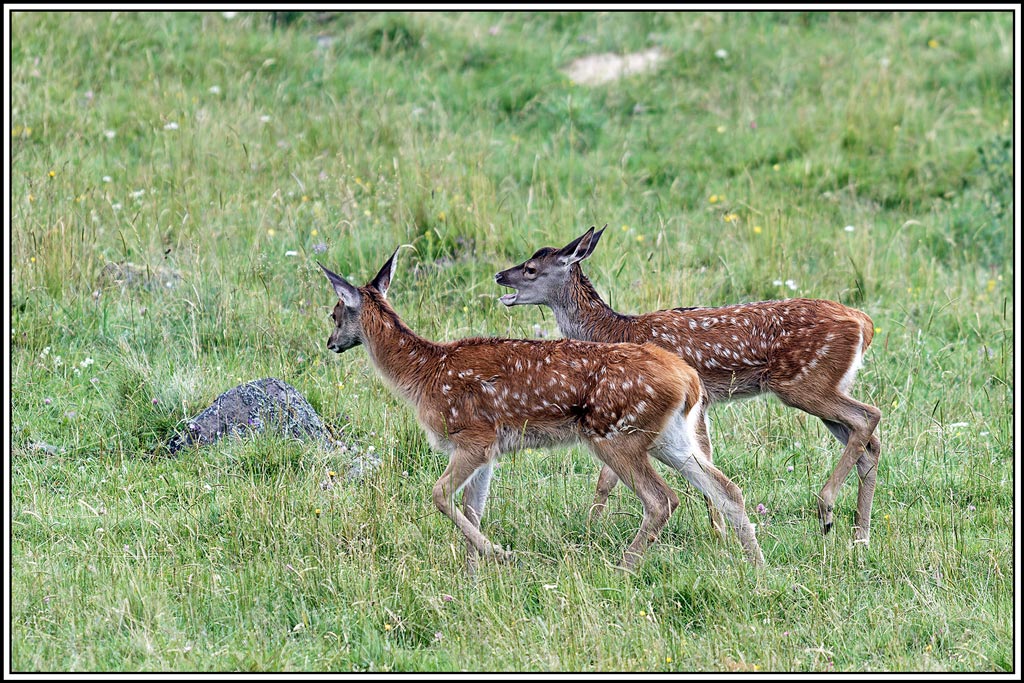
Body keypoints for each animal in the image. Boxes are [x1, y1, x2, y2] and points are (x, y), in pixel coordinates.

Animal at [317, 247, 765, 572]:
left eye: (335, 313)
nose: (330, 342)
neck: (424, 374)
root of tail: (688, 379)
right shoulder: (490, 451)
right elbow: (473, 510)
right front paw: (473, 575)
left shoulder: (473, 437)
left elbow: (439, 495)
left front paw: (498, 554)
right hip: (670, 436)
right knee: (726, 488)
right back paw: (757, 565)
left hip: (615, 434)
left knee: (662, 500)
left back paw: (624, 566)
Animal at [495, 226, 882, 545]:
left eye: (531, 269)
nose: (499, 276)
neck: (613, 330)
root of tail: (864, 322)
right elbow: (694, 460)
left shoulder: (679, 404)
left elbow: (616, 475)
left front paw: (718, 533)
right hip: (826, 383)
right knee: (869, 444)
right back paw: (859, 535)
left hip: (802, 382)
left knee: (868, 416)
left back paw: (827, 510)